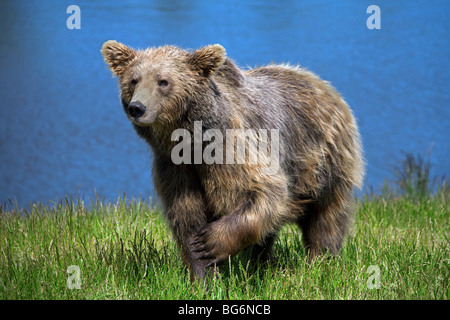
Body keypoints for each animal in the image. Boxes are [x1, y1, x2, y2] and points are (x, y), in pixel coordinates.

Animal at [101, 40, 362, 282]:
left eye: (163, 81)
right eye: (134, 80)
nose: (137, 107)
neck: (190, 142)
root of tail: (319, 83)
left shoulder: (231, 150)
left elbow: (265, 191)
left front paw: (210, 242)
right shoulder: (175, 167)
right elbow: (187, 217)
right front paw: (203, 274)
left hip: (325, 160)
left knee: (326, 217)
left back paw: (320, 261)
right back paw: (258, 263)